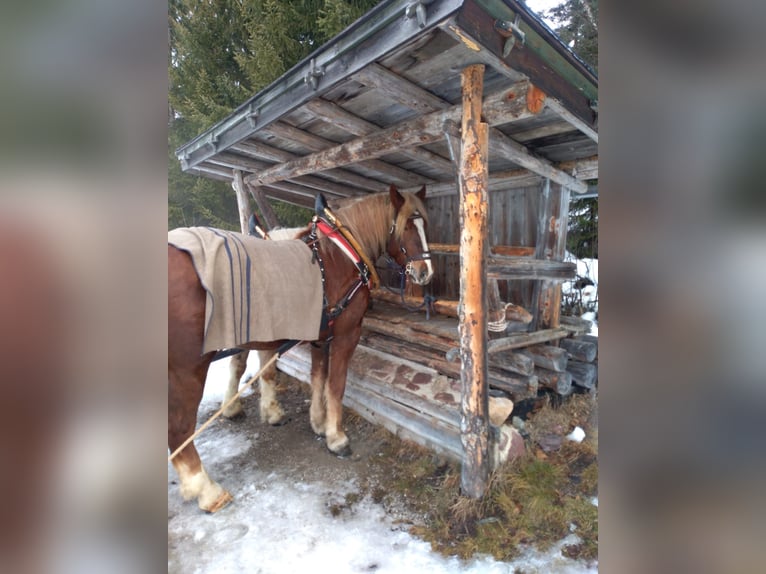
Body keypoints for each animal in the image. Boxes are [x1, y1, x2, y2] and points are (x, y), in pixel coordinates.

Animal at [168, 186, 432, 512]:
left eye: (424, 224)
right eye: (407, 225)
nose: (425, 272)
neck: (340, 255)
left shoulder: (320, 335)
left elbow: (317, 378)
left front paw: (317, 423)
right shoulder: (345, 335)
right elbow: (335, 384)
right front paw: (336, 437)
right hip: (187, 367)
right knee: (179, 426)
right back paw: (206, 490)